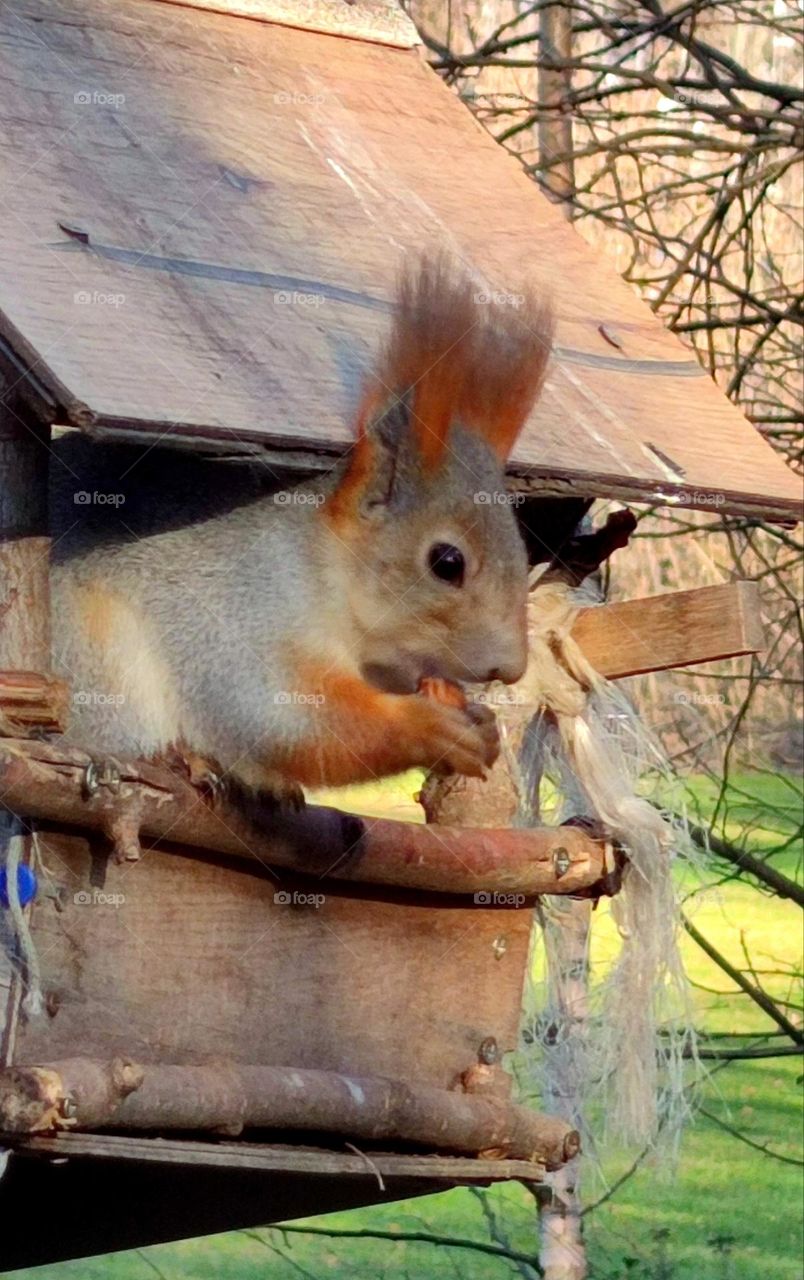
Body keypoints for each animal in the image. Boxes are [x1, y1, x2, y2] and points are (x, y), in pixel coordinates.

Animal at [50, 254, 553, 804]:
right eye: (447, 563)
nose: (511, 668)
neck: (321, 566)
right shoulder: (241, 608)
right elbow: (276, 715)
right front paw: (428, 726)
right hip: (94, 657)